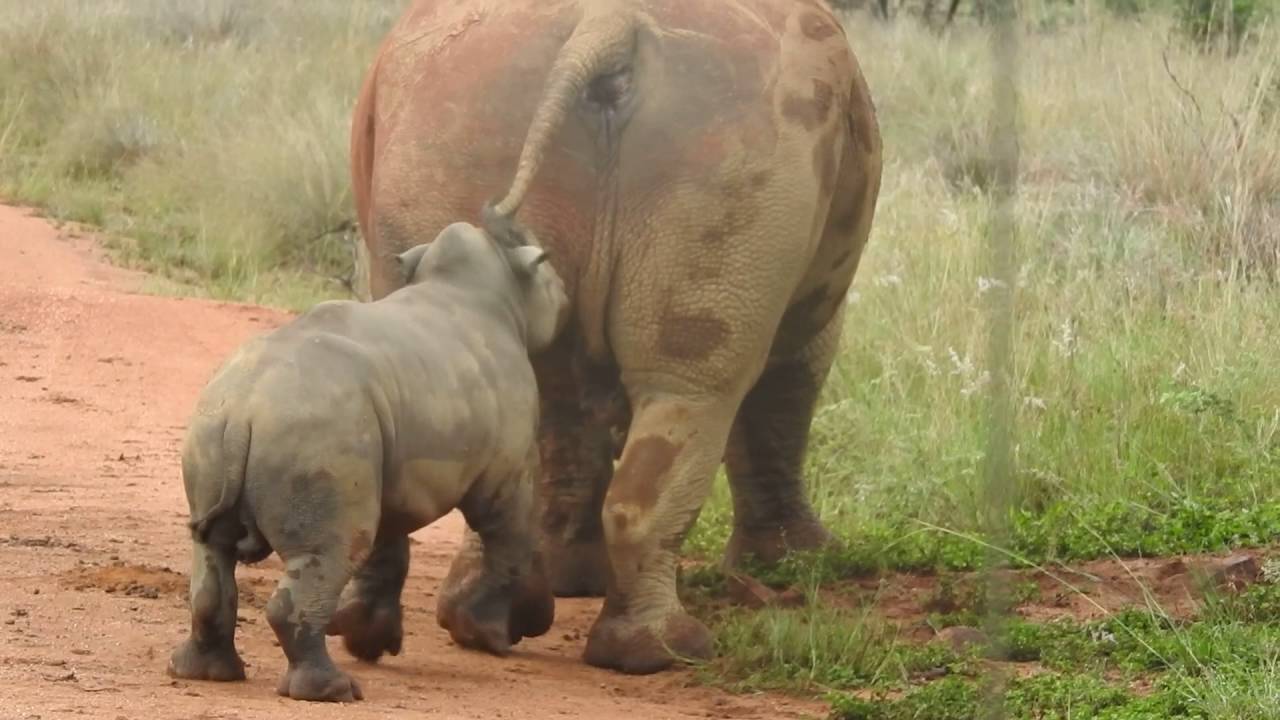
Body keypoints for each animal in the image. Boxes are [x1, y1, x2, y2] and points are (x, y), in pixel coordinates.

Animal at [166, 220, 570, 702]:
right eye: (553, 282)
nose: (568, 300)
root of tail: (245, 408)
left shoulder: (391, 464)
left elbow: (388, 540)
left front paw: (370, 638)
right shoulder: (507, 467)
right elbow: (509, 534)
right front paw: (489, 638)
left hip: (216, 424)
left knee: (213, 552)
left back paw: (205, 673)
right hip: (318, 430)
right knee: (329, 552)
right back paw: (334, 691)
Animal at [350, 0, 883, 674]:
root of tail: (605, 27)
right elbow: (787, 388)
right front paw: (802, 561)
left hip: (457, 113)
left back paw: (476, 623)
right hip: (743, 132)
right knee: (700, 385)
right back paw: (664, 652)